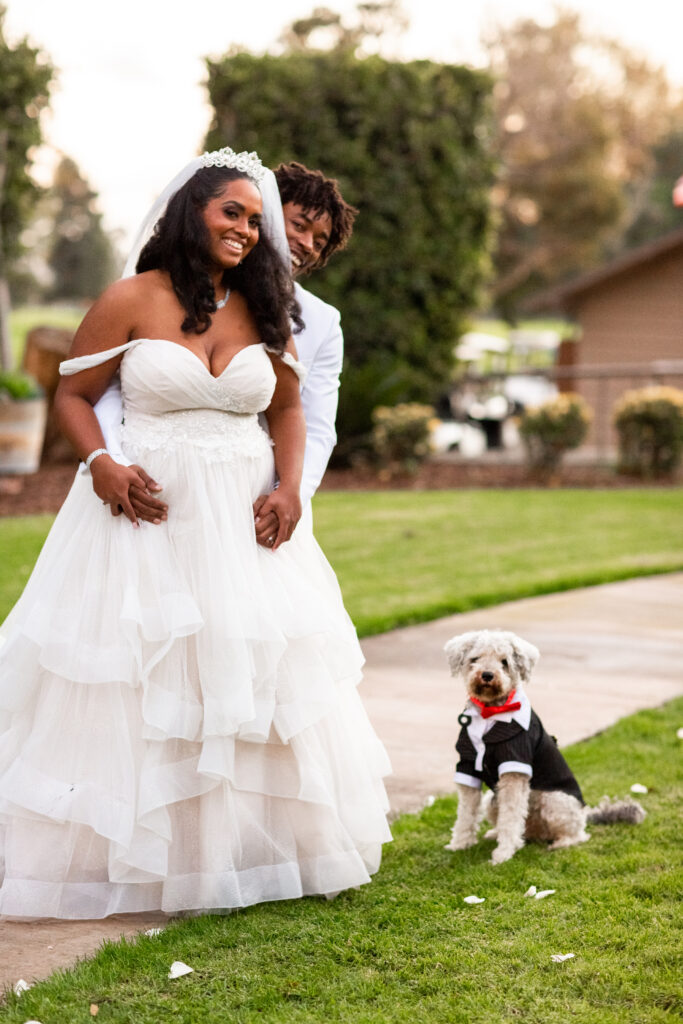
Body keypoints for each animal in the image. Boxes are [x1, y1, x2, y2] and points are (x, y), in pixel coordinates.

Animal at [444, 626, 647, 860]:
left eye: (504, 661)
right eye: (474, 659)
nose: (487, 675)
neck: (490, 712)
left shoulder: (514, 769)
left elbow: (511, 816)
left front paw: (503, 854)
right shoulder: (468, 768)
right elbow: (465, 814)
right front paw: (459, 844)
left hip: (554, 801)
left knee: (578, 834)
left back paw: (559, 843)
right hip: (492, 799)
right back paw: (495, 834)